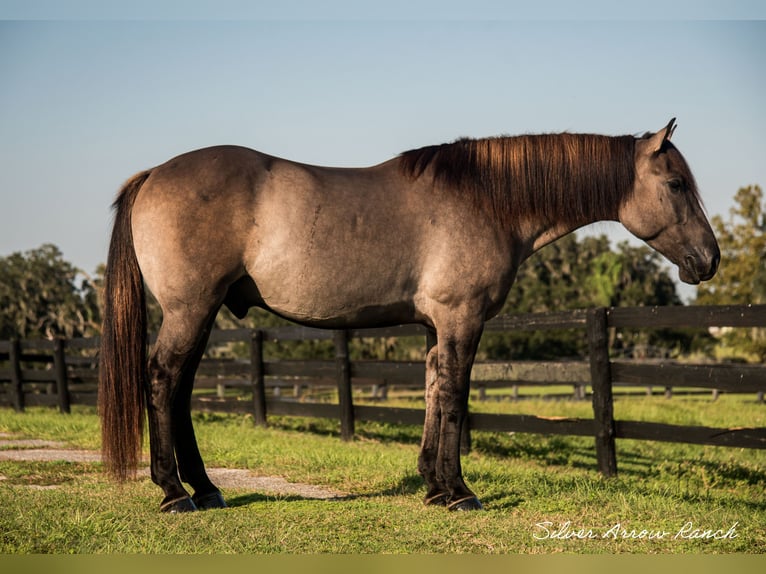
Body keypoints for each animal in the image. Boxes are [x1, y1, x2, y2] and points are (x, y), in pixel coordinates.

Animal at [100, 119, 720, 516]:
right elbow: (456, 400)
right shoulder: (462, 320)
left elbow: (432, 394)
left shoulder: (435, 327)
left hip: (200, 315)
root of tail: (154, 174)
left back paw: (205, 488)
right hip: (190, 311)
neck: (486, 200)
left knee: (179, 389)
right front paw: (460, 492)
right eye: (675, 184)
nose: (708, 260)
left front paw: (433, 486)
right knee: (163, 380)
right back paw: (174, 493)